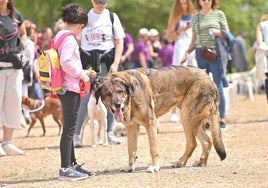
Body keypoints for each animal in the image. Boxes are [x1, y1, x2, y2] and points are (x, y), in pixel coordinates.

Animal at [95, 65, 227, 173]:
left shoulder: (150, 123)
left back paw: (180, 162)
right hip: (192, 118)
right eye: (108, 94)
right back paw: (201, 162)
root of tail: (209, 79)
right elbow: (131, 149)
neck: (131, 95)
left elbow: (153, 148)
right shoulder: (132, 127)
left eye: (120, 91)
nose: (117, 105)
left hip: (187, 118)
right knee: (207, 141)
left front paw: (154, 167)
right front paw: (130, 166)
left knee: (192, 143)